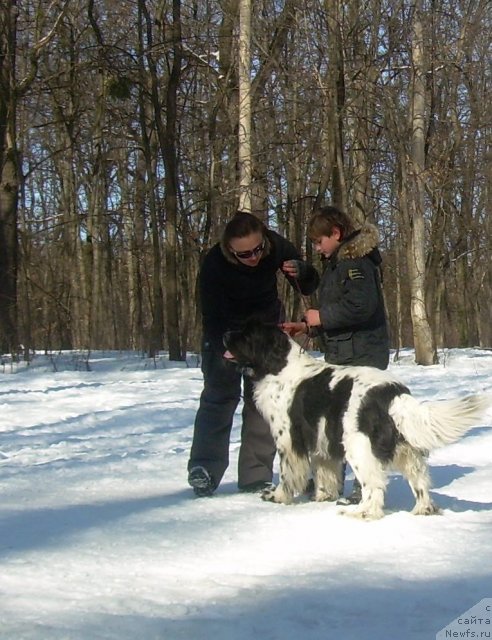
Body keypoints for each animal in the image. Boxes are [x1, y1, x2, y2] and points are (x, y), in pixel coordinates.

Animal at [225, 324, 490, 520]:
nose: (225, 334)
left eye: (246, 334)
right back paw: (421, 511)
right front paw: (322, 497)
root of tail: (392, 392)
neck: (278, 366)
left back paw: (359, 513)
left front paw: (278, 497)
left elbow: (287, 474)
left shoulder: (288, 440)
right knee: (420, 482)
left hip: (358, 447)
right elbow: (325, 472)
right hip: (407, 451)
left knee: (374, 488)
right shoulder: (321, 441)